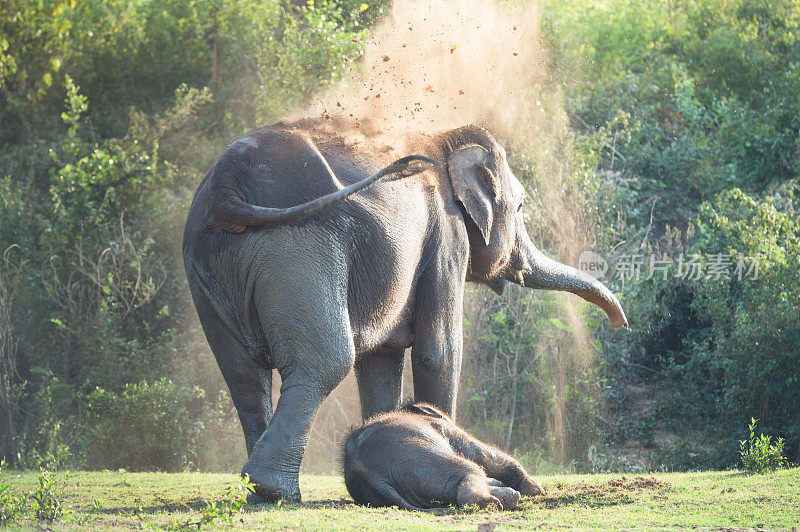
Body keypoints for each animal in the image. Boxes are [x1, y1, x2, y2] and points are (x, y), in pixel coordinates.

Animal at [344, 404, 544, 512]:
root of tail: (362, 469)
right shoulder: (447, 429)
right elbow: (486, 456)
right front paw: (537, 490)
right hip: (419, 456)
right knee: (472, 469)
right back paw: (493, 503)